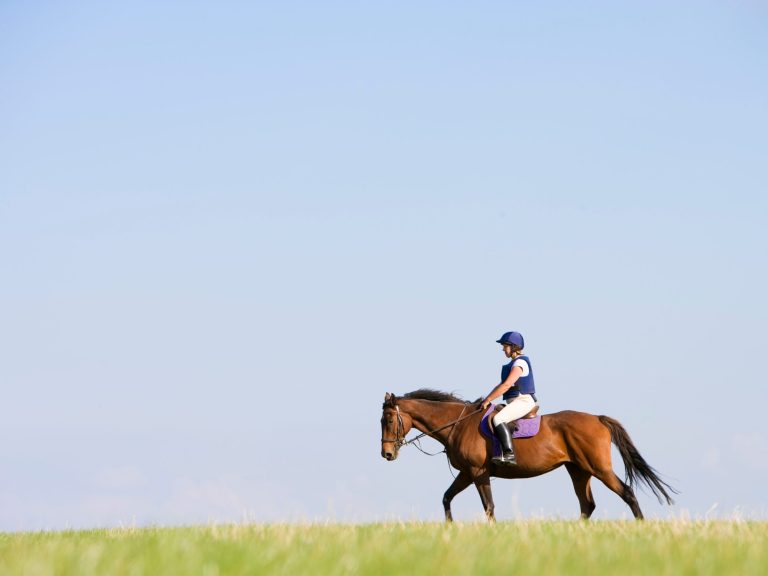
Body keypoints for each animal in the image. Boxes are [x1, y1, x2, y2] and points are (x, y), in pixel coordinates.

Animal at [380, 392, 676, 520]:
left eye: (388, 420)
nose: (386, 453)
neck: (458, 424)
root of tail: (597, 418)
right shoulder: (466, 473)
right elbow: (446, 498)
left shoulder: (478, 473)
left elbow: (489, 506)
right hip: (578, 470)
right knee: (587, 505)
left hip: (598, 468)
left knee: (627, 493)